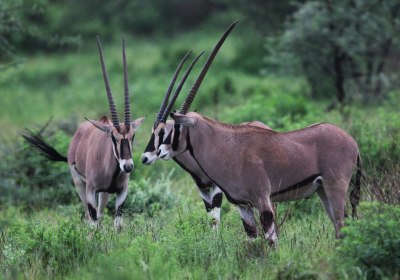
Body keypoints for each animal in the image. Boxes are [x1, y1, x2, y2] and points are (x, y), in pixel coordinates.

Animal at [23, 36, 145, 230]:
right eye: (113, 137)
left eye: (132, 136)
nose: (127, 166)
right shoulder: (90, 191)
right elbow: (93, 222)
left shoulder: (121, 192)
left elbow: (117, 224)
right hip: (80, 183)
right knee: (89, 216)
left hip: (104, 193)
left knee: (100, 214)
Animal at [155, 38, 360, 245]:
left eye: (177, 127)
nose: (159, 152)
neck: (226, 147)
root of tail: (352, 142)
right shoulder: (242, 206)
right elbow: (252, 240)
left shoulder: (263, 201)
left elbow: (271, 241)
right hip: (322, 190)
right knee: (338, 226)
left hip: (335, 187)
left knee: (341, 225)